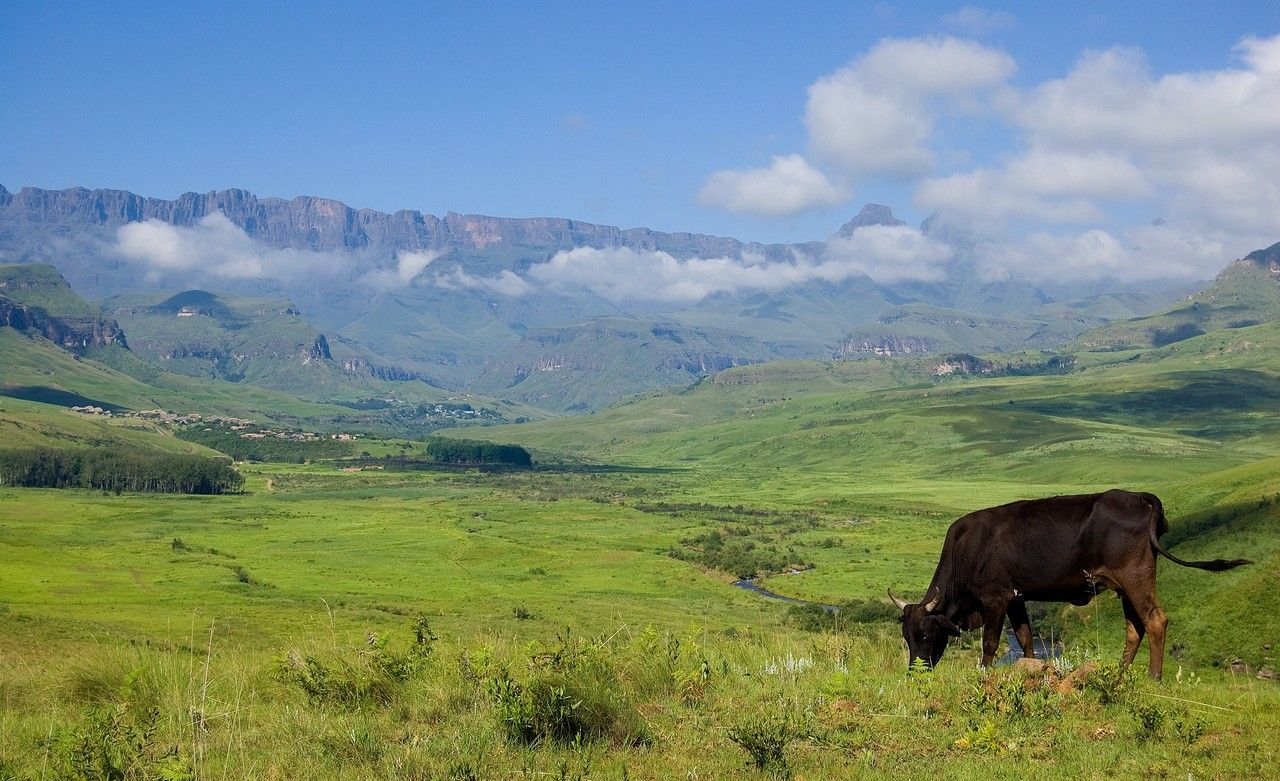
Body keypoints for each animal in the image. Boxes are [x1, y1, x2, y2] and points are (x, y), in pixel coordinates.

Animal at [890, 486, 1249, 676]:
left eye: (925, 633)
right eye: (906, 637)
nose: (914, 672)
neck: (966, 550)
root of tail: (1141, 497)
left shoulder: (995, 599)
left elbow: (990, 643)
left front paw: (985, 672)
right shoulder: (1017, 598)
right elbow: (1025, 639)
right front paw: (1032, 668)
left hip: (1135, 576)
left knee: (1155, 620)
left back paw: (1154, 677)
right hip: (1123, 587)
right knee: (1135, 627)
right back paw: (1120, 673)